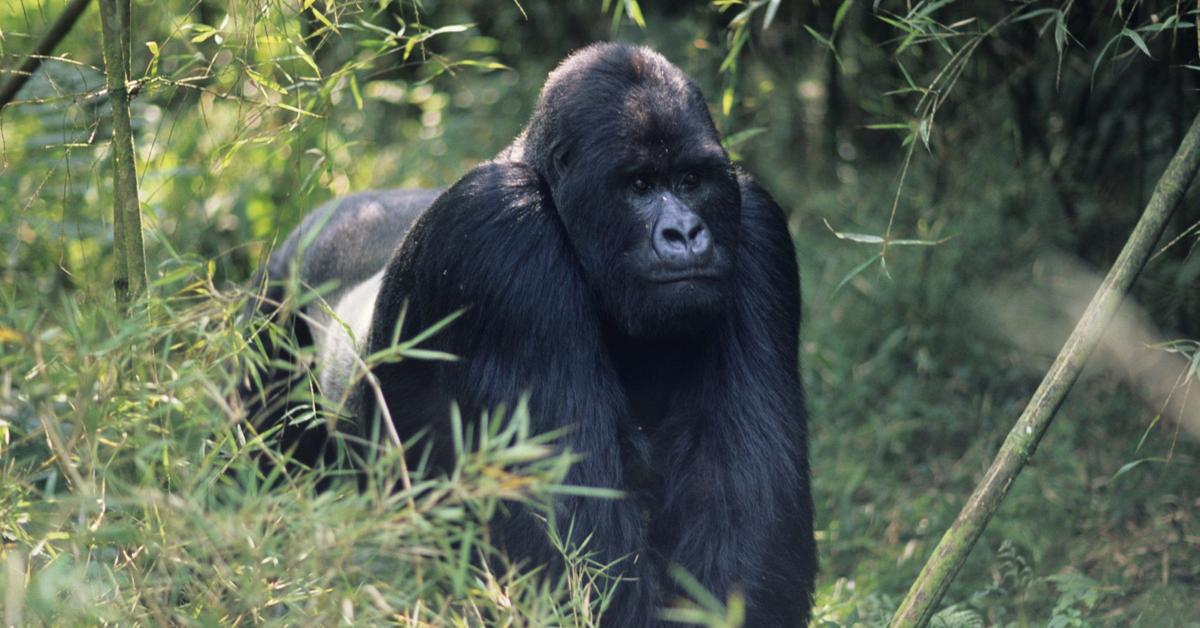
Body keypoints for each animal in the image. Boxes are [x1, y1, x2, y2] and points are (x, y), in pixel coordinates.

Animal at [249, 44, 820, 628]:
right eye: (639, 186)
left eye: (691, 181)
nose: (684, 233)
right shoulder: (501, 233)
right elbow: (576, 558)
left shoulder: (757, 231)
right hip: (272, 301)